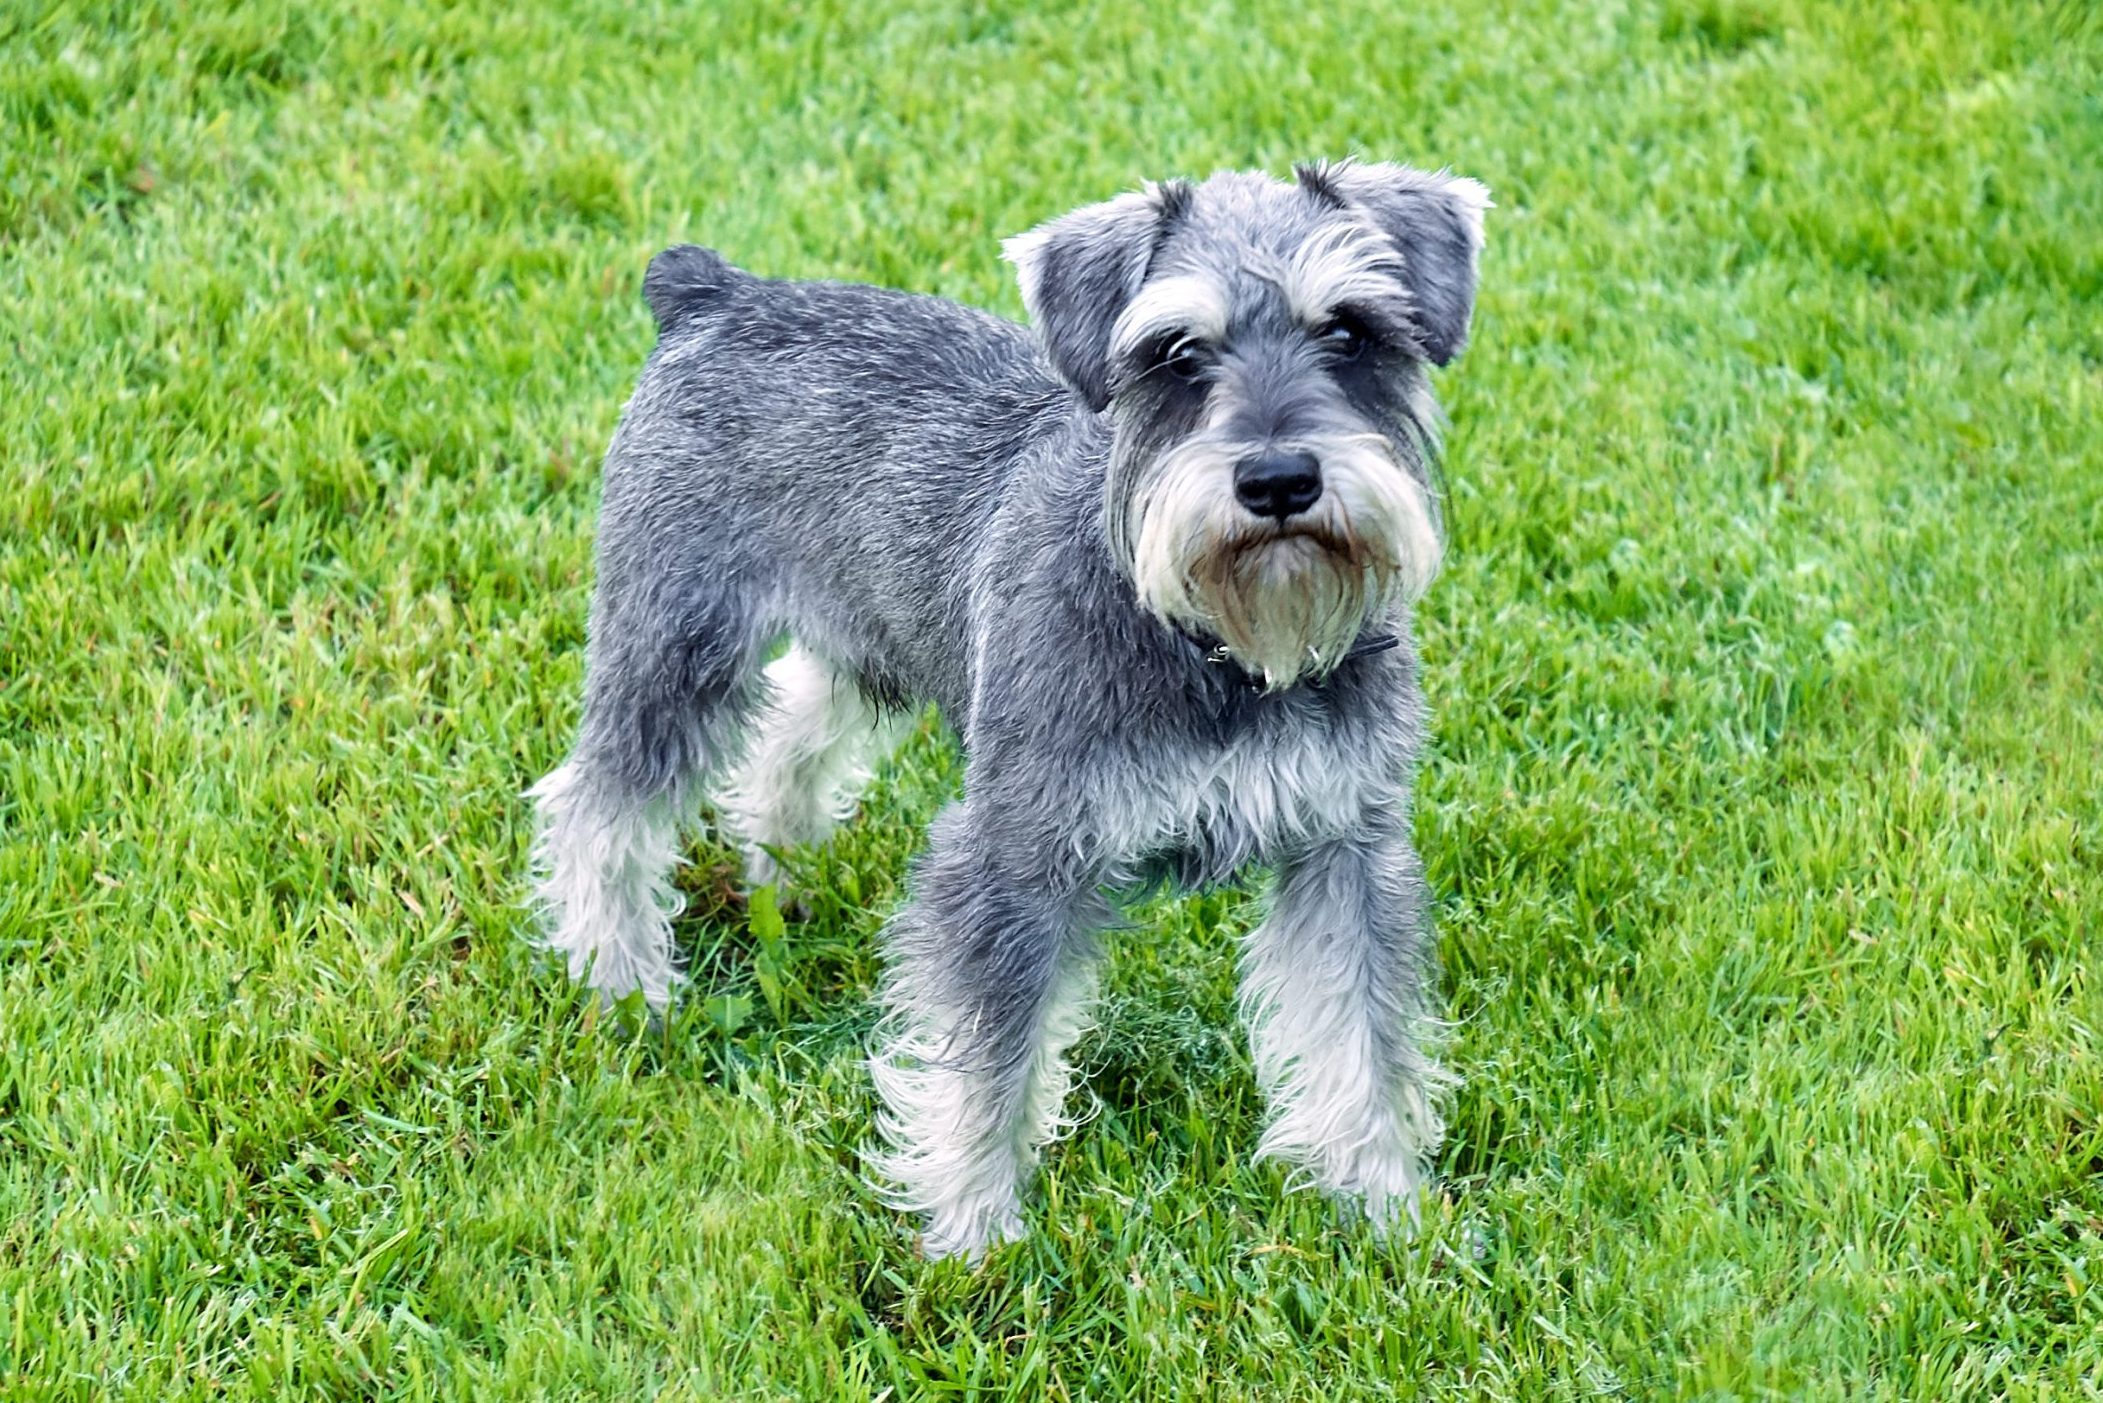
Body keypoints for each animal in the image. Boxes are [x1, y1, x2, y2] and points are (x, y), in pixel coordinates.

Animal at [534, 165, 1505, 1262]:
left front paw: (1389, 1212)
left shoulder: (1344, 847)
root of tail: (713, 292)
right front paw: (971, 1236)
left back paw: (782, 876)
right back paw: (624, 983)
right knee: (598, 804)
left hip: (870, 642)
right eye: (1176, 353)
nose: (1278, 479)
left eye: (1349, 330)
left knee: (789, 731)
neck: (1215, 640)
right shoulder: (1018, 856)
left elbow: (1360, 1037)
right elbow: (984, 1064)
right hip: (675, 646)